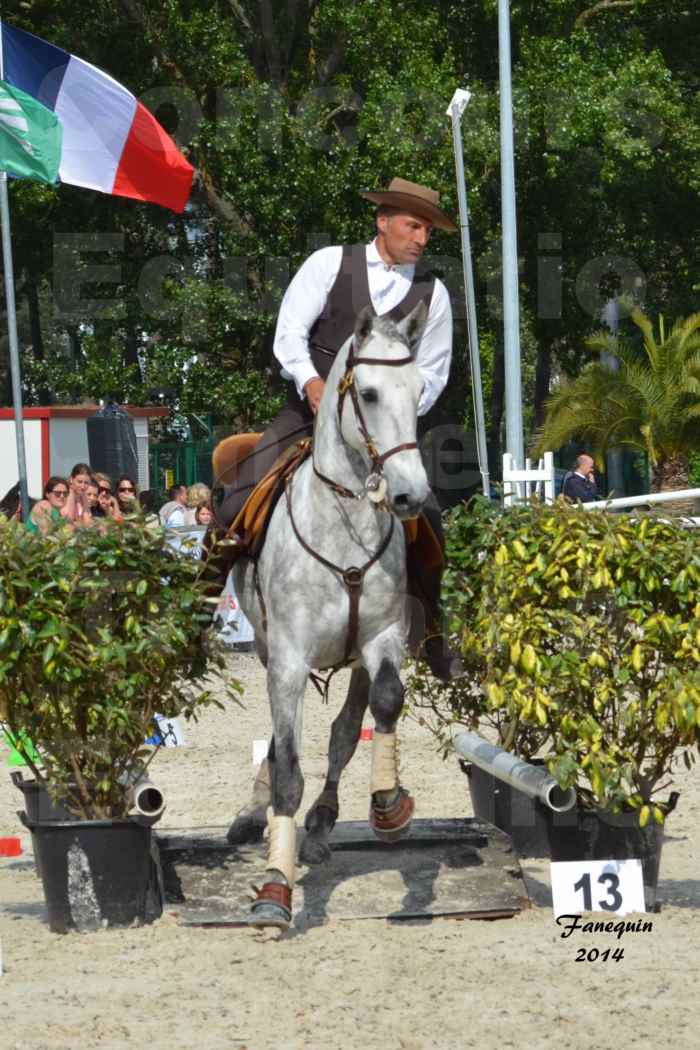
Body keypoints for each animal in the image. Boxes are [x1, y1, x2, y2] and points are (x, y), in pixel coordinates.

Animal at [229, 302, 430, 928]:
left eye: (419, 391)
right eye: (367, 393)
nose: (410, 496)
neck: (345, 531)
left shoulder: (382, 640)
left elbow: (380, 707)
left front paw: (388, 803)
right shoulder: (287, 661)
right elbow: (289, 770)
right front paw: (275, 887)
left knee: (344, 733)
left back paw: (321, 824)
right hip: (268, 651)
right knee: (280, 741)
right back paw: (259, 817)